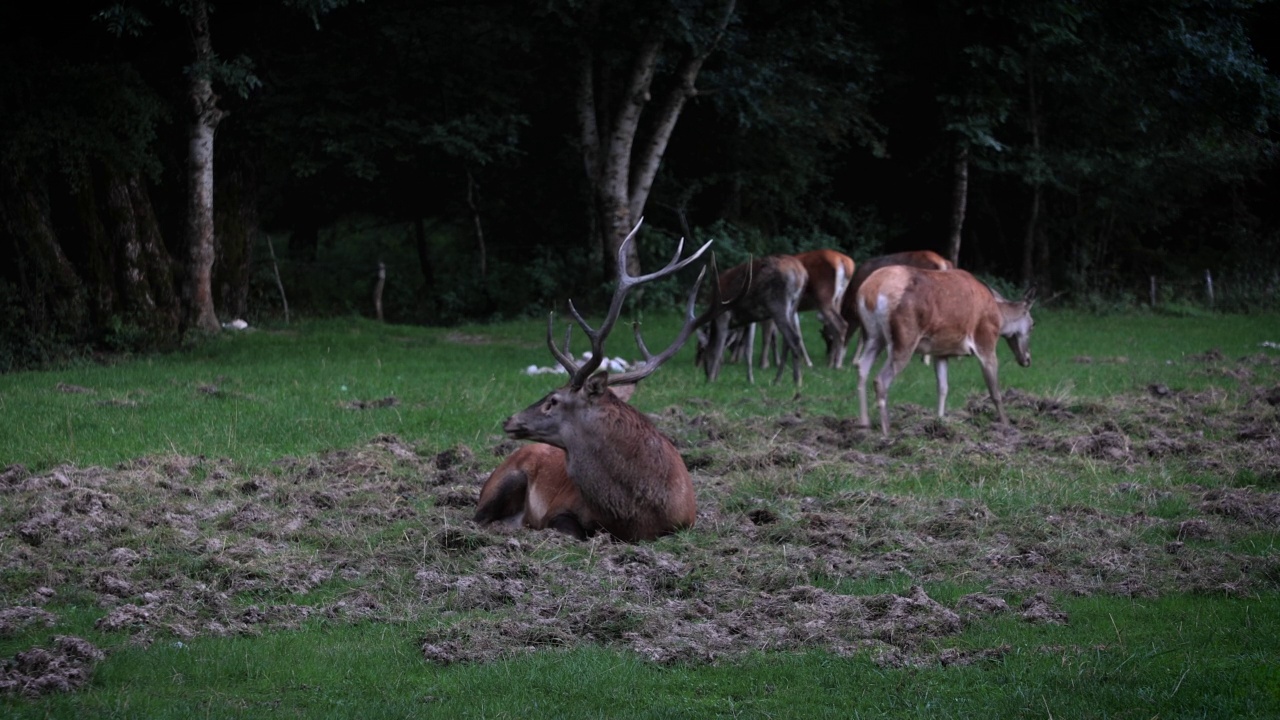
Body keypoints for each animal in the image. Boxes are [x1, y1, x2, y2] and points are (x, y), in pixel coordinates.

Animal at [696, 253, 803, 384]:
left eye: (701, 350)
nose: (698, 366)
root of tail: (800, 274)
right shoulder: (750, 319)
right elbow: (748, 349)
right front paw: (750, 379)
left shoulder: (723, 315)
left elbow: (718, 348)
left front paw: (710, 380)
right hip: (793, 307)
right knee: (788, 341)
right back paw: (788, 378)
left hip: (777, 305)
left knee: (793, 338)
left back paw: (788, 380)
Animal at [855, 263, 1034, 430]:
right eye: (1033, 324)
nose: (1027, 359)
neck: (999, 317)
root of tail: (870, 291)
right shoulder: (985, 340)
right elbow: (995, 392)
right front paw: (1006, 424)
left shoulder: (940, 352)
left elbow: (943, 388)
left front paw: (940, 422)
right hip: (904, 338)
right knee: (880, 379)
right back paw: (886, 430)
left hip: (872, 335)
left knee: (862, 366)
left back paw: (864, 424)